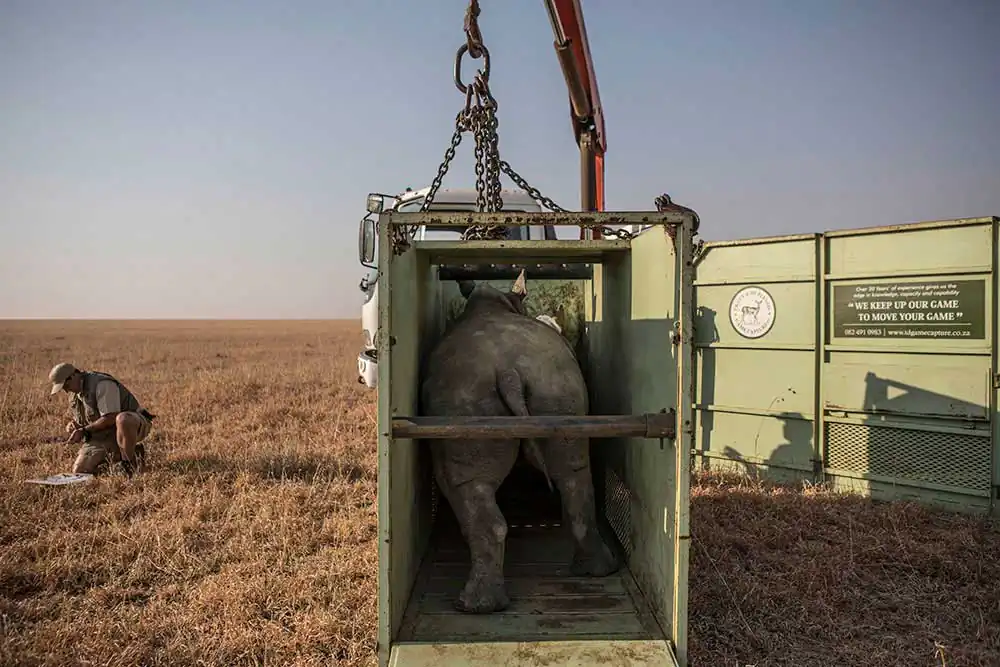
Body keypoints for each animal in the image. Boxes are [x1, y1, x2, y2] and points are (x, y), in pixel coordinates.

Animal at [419, 270, 620, 614]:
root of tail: (509, 371)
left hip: (463, 399)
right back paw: (596, 570)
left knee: (461, 483)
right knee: (574, 474)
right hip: (555, 381)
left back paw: (474, 606)